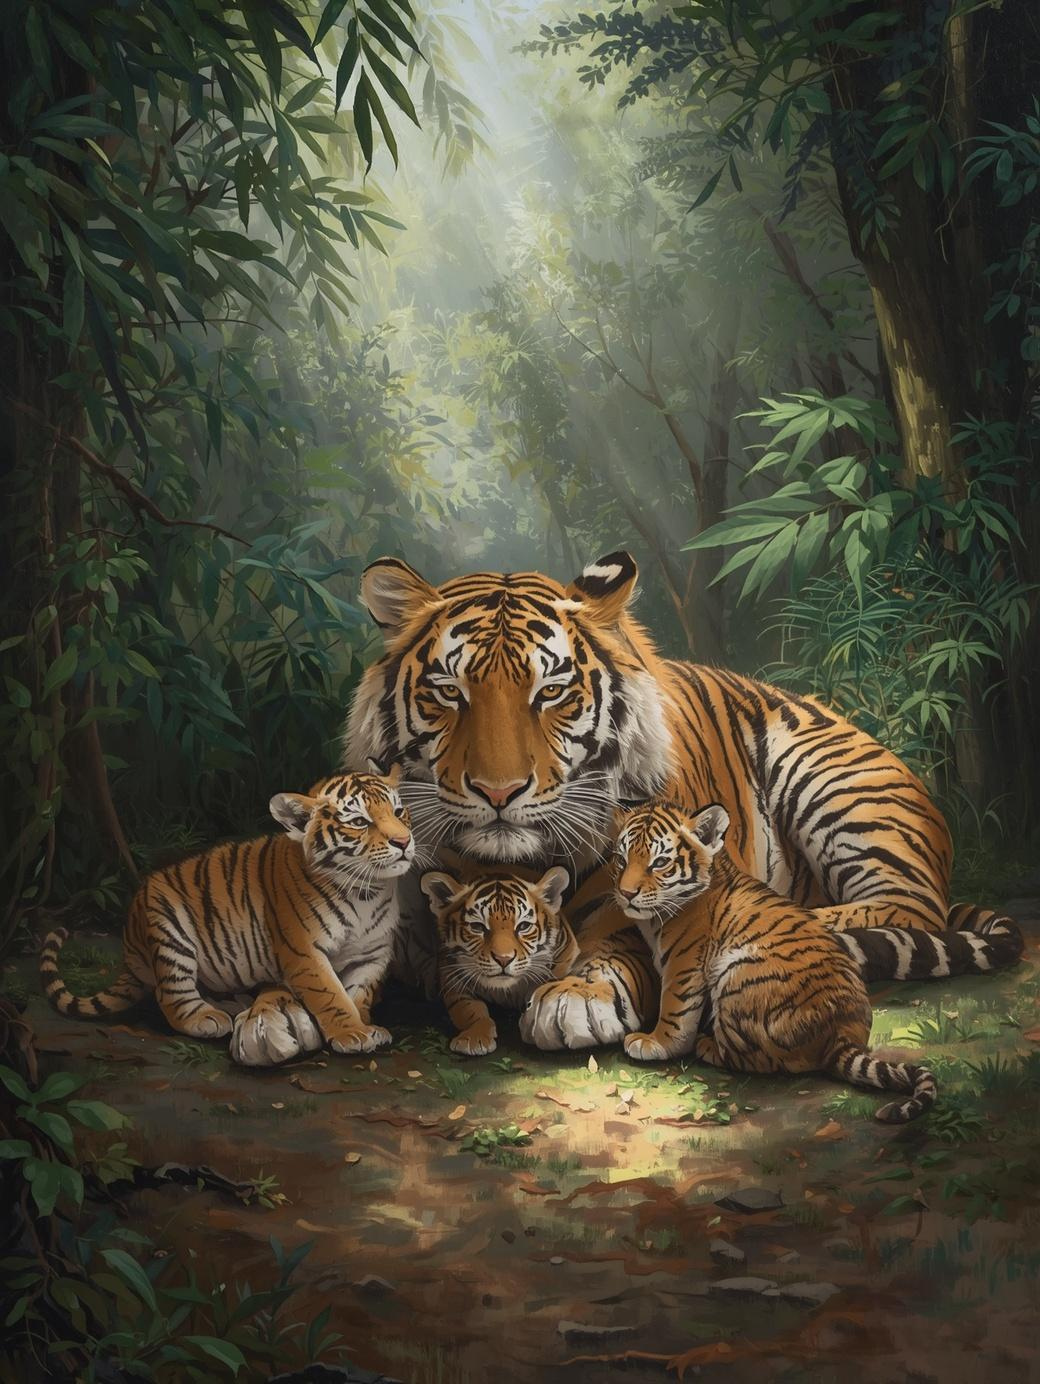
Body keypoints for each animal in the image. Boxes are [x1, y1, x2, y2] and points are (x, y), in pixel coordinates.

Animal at [39, 768, 414, 1061]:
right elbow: (330, 994)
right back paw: (206, 1018)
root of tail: (130, 953)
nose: (404, 842)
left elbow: (358, 993)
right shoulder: (304, 951)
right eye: (360, 822)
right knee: (170, 993)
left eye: (399, 812)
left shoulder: (372, 955)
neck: (368, 891)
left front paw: (365, 1025)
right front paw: (351, 1033)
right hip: (168, 928)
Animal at [420, 866, 577, 1055]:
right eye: (477, 927)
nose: (504, 959)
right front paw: (474, 1037)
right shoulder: (452, 975)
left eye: (523, 926)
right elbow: (468, 1009)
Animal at [612, 799, 1024, 1121]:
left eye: (660, 862)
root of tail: (841, 1034)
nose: (625, 894)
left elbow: (675, 1008)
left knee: (759, 1060)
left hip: (737, 972)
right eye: (620, 859)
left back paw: (708, 1045)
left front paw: (653, 1042)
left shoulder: (683, 961)